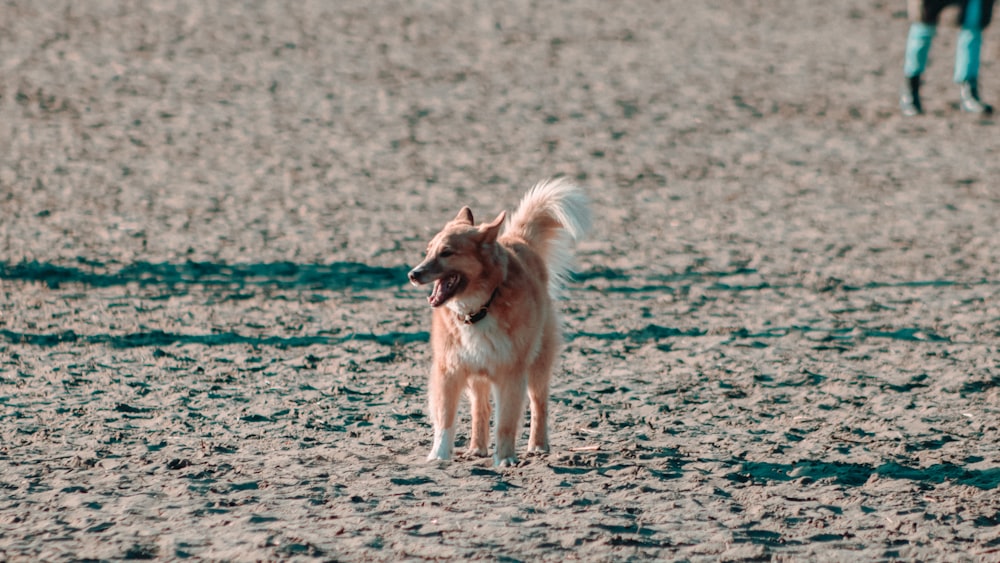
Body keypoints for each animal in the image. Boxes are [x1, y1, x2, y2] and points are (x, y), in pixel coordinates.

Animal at [408, 180, 588, 468]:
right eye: (428, 251)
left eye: (447, 252)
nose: (412, 274)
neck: (479, 309)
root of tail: (518, 239)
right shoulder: (449, 370)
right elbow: (445, 418)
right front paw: (438, 455)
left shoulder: (510, 373)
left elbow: (506, 423)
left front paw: (504, 458)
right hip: (477, 373)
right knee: (480, 409)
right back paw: (476, 448)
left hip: (537, 364)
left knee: (539, 404)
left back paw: (538, 445)